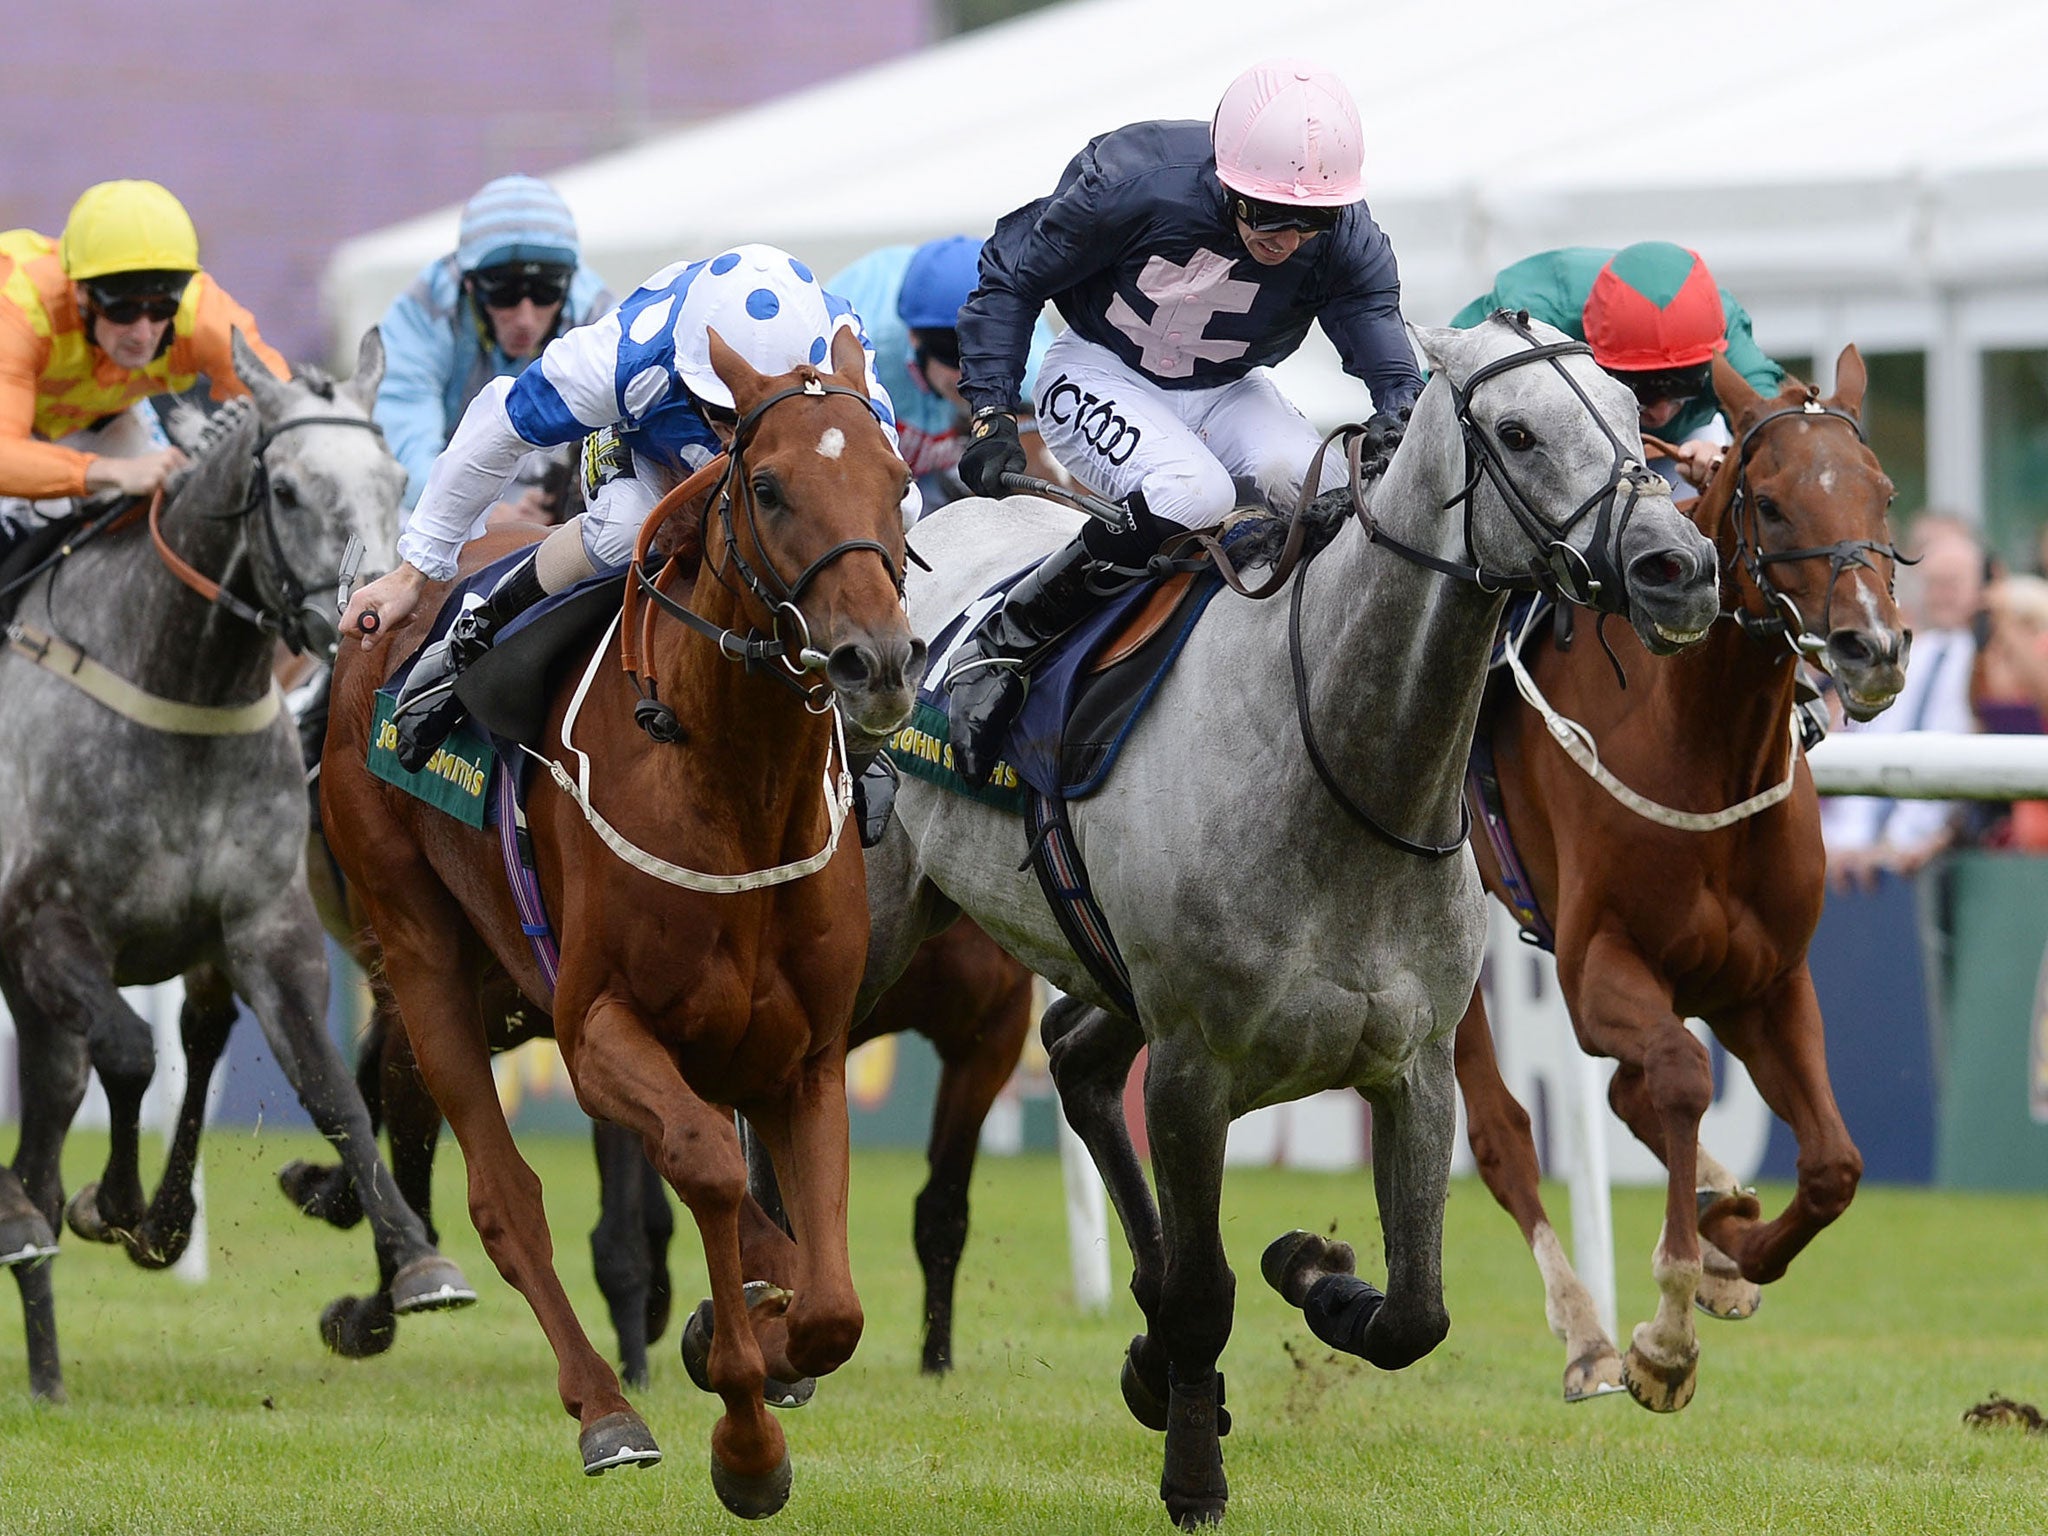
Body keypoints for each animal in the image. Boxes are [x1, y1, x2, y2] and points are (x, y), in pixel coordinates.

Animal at [0, 335, 468, 1409]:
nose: (370, 626)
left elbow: (334, 1091)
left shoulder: (268, 928)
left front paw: (417, 1262)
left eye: (397, 480)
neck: (179, 687)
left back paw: (41, 1343)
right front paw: (117, 1205)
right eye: (285, 489)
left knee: (42, 1140)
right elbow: (132, 1052)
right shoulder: (44, 926)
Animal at [317, 331, 921, 1523]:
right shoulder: (597, 1026)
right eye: (769, 485)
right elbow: (709, 1169)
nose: (876, 662)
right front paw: (744, 1435)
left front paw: (763, 1334)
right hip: (425, 953)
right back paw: (604, 1409)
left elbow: (831, 1302)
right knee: (505, 1199)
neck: (732, 785)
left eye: (899, 480)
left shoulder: (805, 1054)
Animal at [856, 313, 1720, 1531]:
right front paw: (1193, 1474)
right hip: (884, 921)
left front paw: (1308, 1271)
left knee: (1072, 1058)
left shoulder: (1412, 1065)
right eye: (1515, 431)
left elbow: (1413, 1313)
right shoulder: (1192, 1067)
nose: (1676, 568)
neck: (1339, 765)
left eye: (1638, 414)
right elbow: (1203, 1290)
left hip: (1108, 972)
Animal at [1458, 342, 1900, 1417]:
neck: (1700, 744)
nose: (1873, 647)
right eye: (1771, 504)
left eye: (1884, 493)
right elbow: (1681, 1075)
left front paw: (1732, 1244)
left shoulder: (1765, 981)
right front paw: (1664, 1336)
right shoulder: (1597, 971)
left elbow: (1833, 1166)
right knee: (1502, 1129)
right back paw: (1586, 1336)